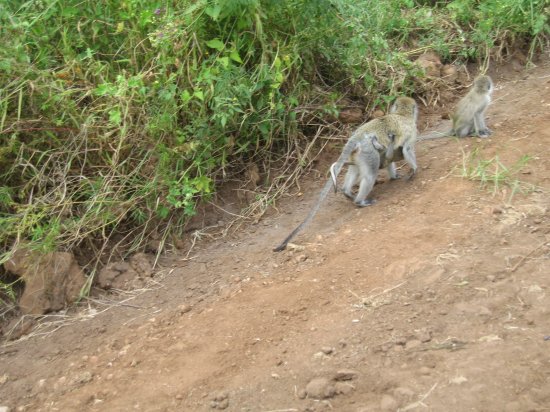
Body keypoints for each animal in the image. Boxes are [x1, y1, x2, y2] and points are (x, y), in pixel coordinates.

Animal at [276, 97, 418, 251]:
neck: (402, 115)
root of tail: (357, 136)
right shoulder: (411, 131)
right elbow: (407, 148)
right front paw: (414, 170)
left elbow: (389, 156)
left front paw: (394, 176)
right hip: (368, 151)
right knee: (370, 175)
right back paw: (360, 202)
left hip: (357, 154)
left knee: (355, 170)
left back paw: (347, 192)